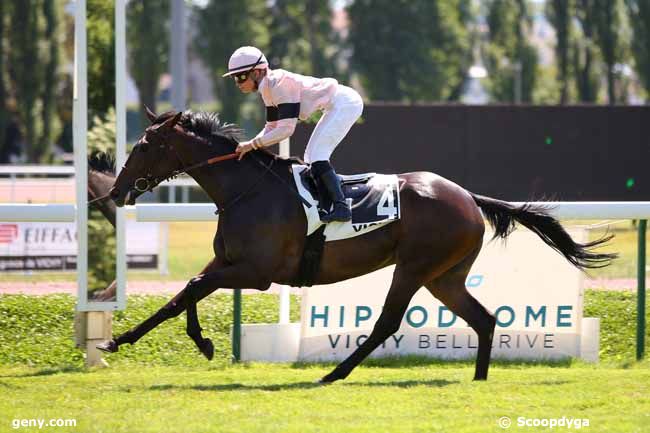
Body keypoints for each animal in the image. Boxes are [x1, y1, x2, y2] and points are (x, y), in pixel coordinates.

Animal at [96, 108, 612, 382]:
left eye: (143, 146)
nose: (116, 191)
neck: (248, 190)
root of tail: (468, 196)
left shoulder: (256, 273)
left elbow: (188, 290)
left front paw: (136, 340)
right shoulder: (227, 261)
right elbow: (182, 295)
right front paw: (144, 340)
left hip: (413, 269)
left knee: (388, 322)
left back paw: (333, 373)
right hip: (445, 276)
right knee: (484, 318)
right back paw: (479, 379)